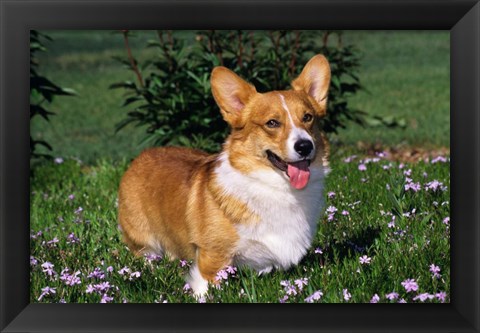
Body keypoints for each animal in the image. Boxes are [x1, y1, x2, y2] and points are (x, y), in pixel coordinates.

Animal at [118, 54, 332, 296]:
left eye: (308, 117)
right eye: (272, 123)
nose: (305, 146)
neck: (277, 187)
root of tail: (141, 156)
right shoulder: (213, 259)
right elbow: (206, 287)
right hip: (143, 241)